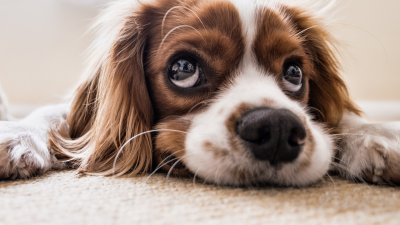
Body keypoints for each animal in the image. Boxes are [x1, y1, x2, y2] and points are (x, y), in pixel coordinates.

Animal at [0, 0, 400, 186]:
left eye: (294, 73)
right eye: (183, 69)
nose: (277, 129)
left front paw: (376, 134)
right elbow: (55, 115)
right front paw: (17, 134)